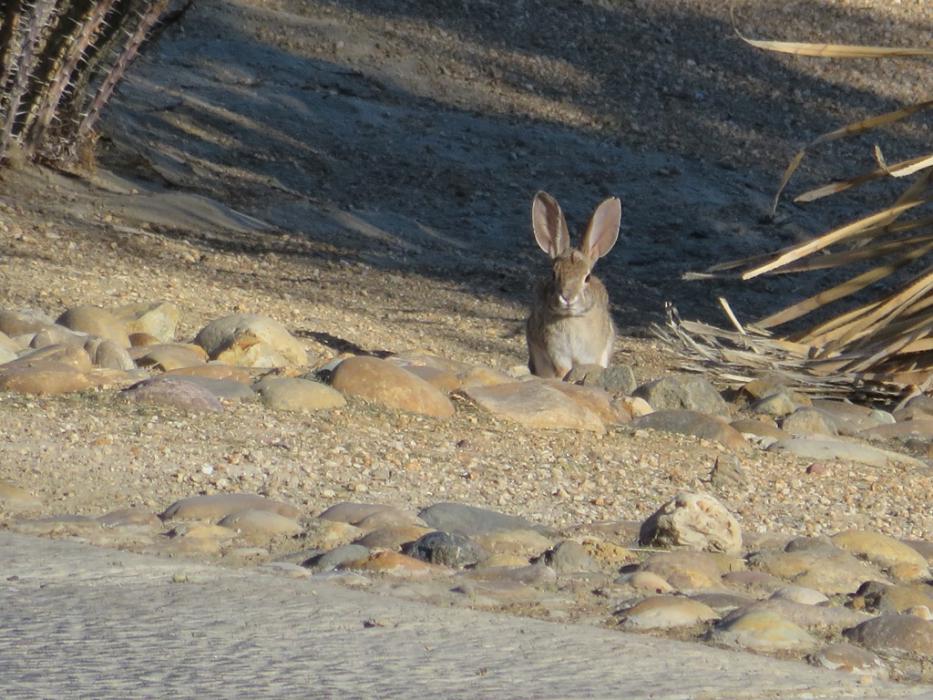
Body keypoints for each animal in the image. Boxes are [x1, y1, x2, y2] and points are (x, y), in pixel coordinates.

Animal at [525, 191, 621, 379]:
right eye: (553, 274)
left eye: (587, 277)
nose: (567, 297)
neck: (571, 317)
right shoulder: (556, 351)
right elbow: (562, 369)